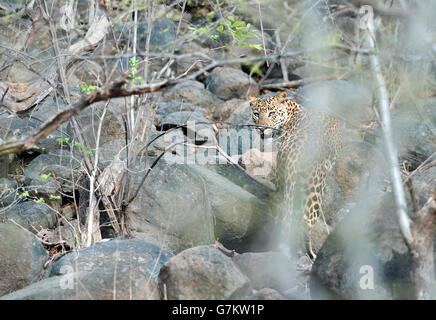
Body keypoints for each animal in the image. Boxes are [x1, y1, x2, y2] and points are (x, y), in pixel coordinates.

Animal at [249, 90, 340, 258]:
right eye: (256, 114)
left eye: (271, 113)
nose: (262, 129)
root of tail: (294, 152)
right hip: (314, 192)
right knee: (306, 223)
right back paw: (310, 254)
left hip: (284, 184)